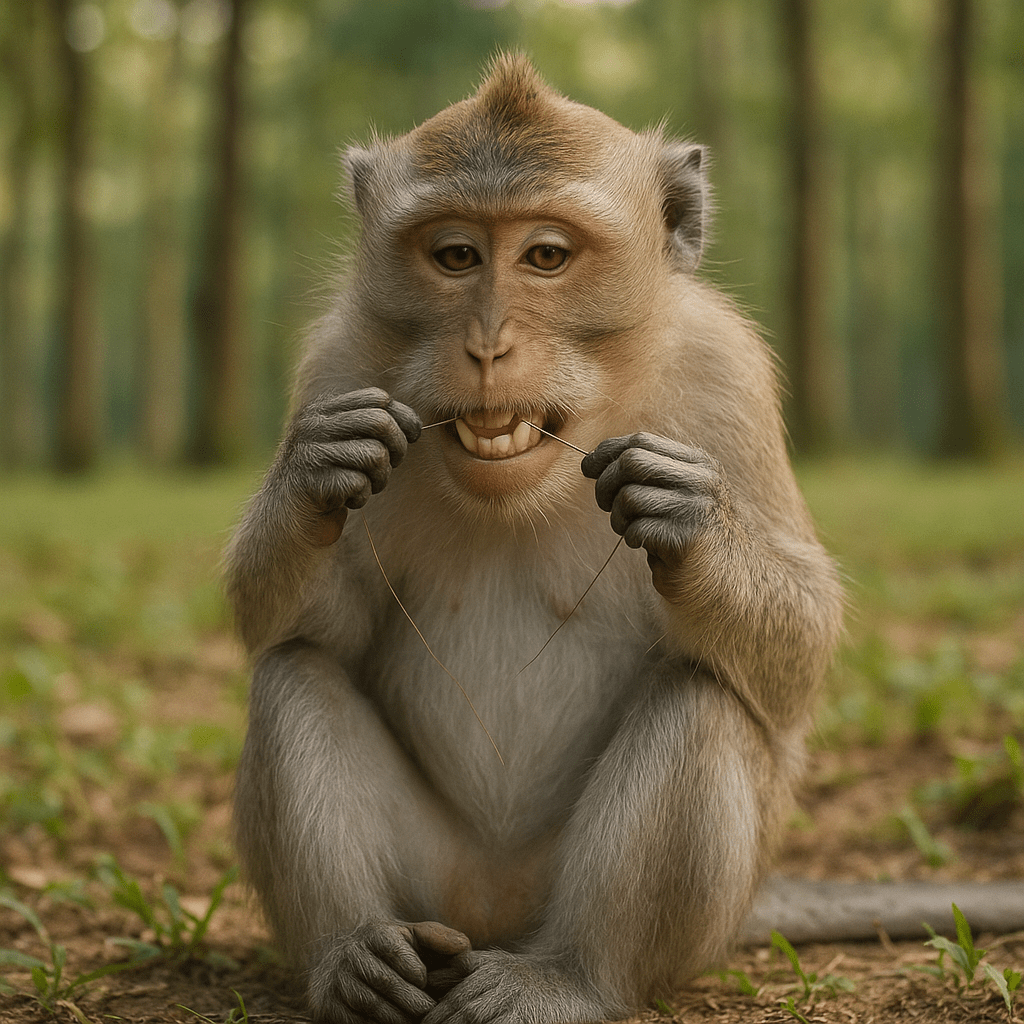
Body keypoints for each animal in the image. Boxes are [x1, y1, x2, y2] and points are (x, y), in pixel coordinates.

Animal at [225, 54, 845, 1024]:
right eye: (456, 256)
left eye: (545, 257)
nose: (486, 345)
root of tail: (496, 913)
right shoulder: (338, 365)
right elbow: (303, 628)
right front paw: (313, 472)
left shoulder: (727, 378)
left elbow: (797, 661)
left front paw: (692, 521)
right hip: (437, 880)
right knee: (293, 676)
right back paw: (354, 959)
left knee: (702, 700)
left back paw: (570, 977)